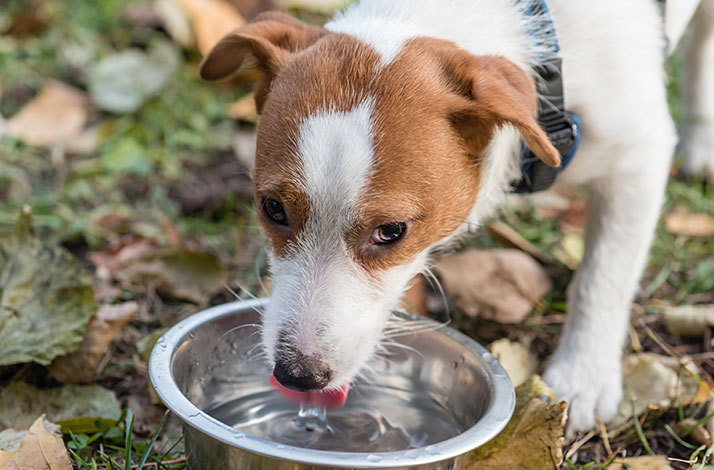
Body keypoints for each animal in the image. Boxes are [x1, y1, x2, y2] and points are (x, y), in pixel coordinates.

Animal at [199, 0, 712, 434]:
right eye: (272, 208)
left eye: (391, 232)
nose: (297, 376)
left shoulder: (638, 160)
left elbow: (601, 279)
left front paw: (584, 376)